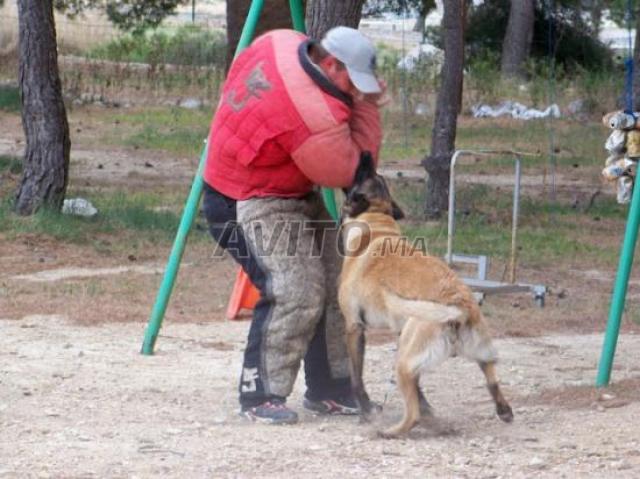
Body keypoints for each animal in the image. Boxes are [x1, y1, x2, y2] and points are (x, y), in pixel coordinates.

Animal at [338, 154, 512, 438]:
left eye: (365, 174)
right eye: (374, 174)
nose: (366, 154)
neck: (375, 223)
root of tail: (460, 306)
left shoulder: (354, 327)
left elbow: (356, 379)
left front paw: (365, 412)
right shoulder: (401, 335)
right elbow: (419, 390)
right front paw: (428, 407)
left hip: (403, 362)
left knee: (413, 415)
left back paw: (391, 431)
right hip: (471, 348)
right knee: (492, 377)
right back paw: (503, 410)